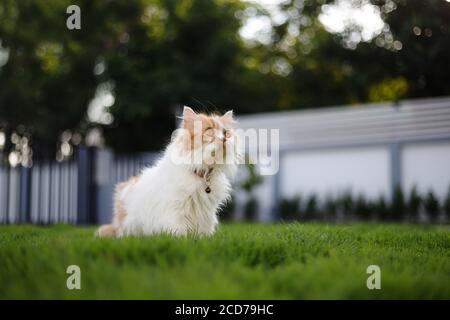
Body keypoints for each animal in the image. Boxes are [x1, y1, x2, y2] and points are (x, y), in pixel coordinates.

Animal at [97, 107, 241, 238]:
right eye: (209, 131)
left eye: (226, 133)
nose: (224, 139)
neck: (202, 173)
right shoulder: (175, 210)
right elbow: (178, 231)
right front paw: (182, 240)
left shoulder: (206, 213)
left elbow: (203, 232)